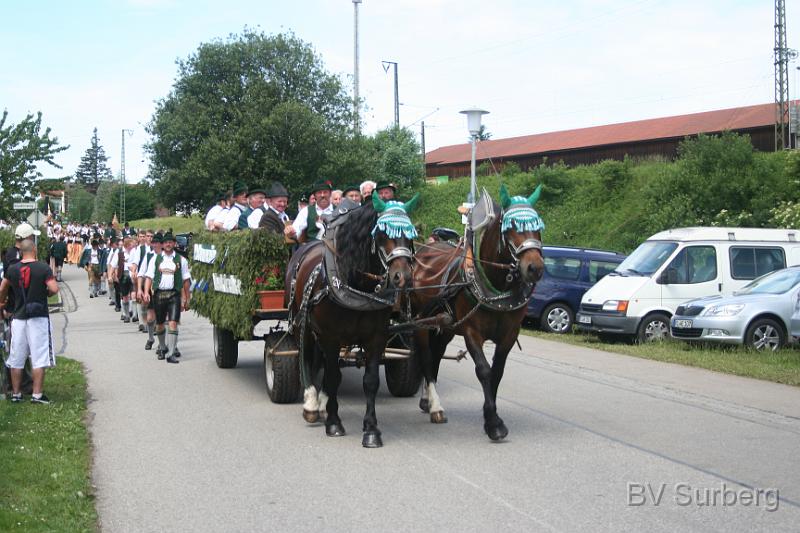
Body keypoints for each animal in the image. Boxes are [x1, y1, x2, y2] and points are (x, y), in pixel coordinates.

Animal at [290, 194, 418, 444]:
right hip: (306, 325)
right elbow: (333, 377)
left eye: (410, 236)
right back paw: (311, 403)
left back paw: (321, 402)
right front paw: (333, 422)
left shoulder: (376, 338)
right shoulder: (331, 337)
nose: (403, 277)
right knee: (306, 357)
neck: (358, 287)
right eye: (382, 235)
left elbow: (370, 381)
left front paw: (371, 429)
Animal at [412, 185, 544, 438]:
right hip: (421, 322)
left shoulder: (509, 335)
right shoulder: (472, 332)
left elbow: (497, 372)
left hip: (445, 327)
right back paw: (435, 406)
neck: (497, 288)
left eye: (539, 226)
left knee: (436, 356)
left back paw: (426, 401)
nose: (535, 268)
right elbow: (483, 370)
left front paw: (490, 415)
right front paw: (493, 423)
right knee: (425, 358)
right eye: (510, 227)